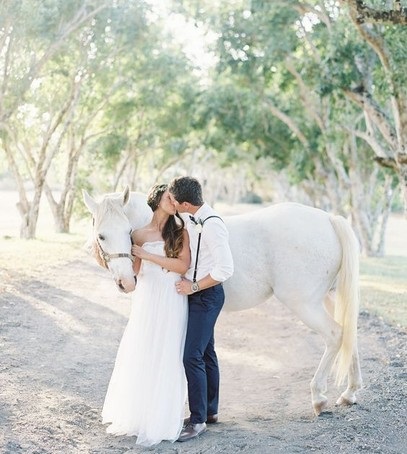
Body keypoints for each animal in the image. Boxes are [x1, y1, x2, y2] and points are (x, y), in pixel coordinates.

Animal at [83, 186, 364, 416]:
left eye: (128, 232)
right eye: (102, 235)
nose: (126, 282)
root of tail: (328, 219)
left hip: (305, 305)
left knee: (335, 335)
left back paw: (318, 397)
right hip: (329, 299)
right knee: (348, 334)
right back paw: (349, 394)